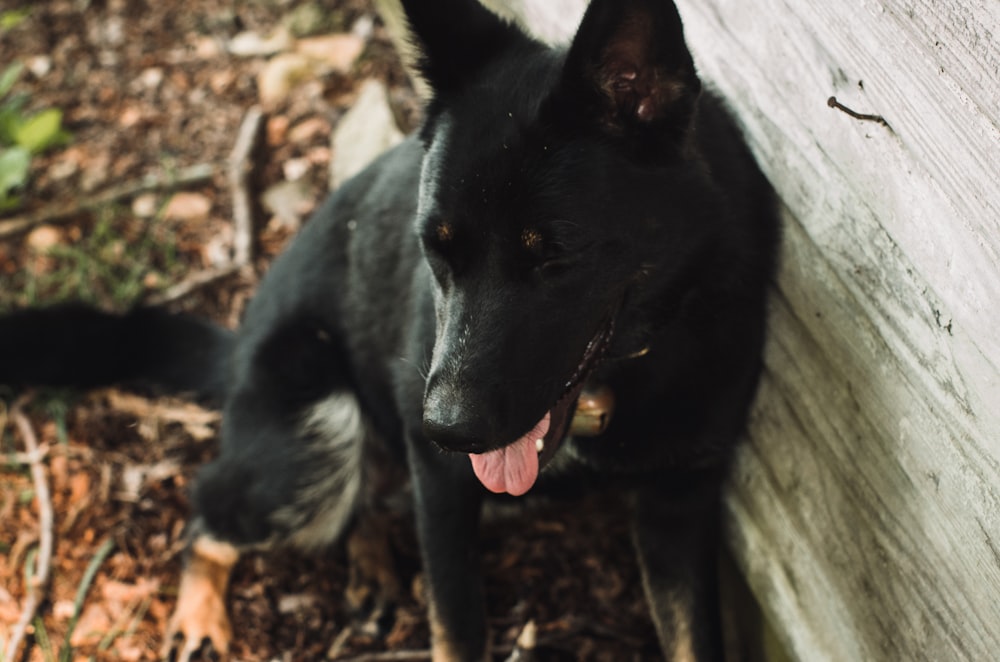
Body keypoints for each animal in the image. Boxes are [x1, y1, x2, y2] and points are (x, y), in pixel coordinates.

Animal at [0, 2, 776, 660]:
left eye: (554, 256)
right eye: (437, 248)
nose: (445, 431)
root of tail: (238, 348)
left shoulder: (679, 508)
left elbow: (692, 638)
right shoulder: (443, 487)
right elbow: (457, 628)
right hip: (314, 438)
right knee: (208, 512)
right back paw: (202, 614)